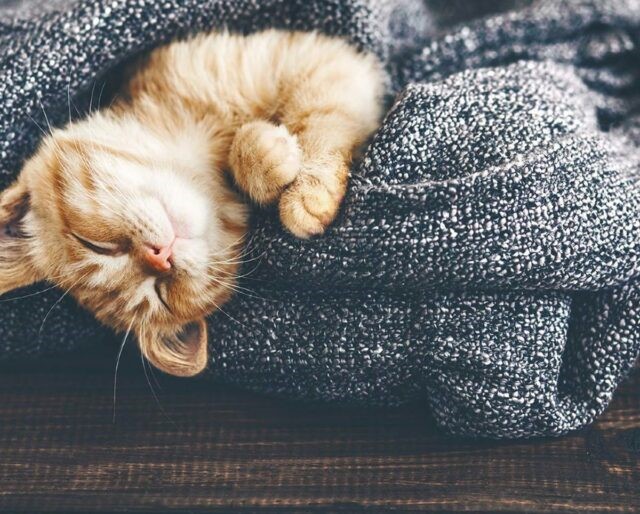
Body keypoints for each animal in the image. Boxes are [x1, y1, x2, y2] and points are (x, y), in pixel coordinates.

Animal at [0, 29, 386, 377]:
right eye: (161, 293)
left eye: (96, 245)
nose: (160, 258)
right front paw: (267, 157)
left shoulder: (314, 61)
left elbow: (322, 114)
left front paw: (306, 189)